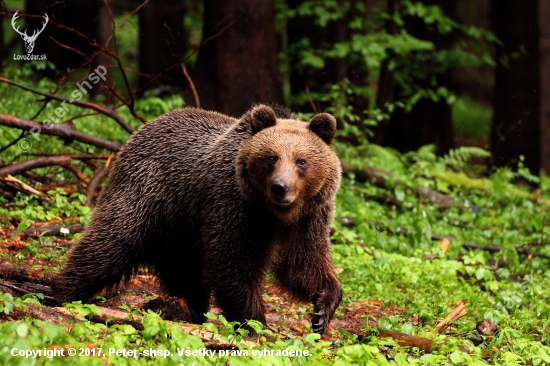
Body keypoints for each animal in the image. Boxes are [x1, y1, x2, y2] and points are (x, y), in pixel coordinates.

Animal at [54, 103, 342, 334]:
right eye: (271, 157)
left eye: (301, 161)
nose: (280, 187)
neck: (275, 214)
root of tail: (141, 130)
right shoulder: (234, 207)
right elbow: (232, 264)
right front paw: (254, 325)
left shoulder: (309, 217)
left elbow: (303, 263)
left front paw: (322, 311)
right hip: (146, 196)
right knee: (109, 244)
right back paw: (57, 291)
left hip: (180, 232)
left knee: (187, 277)